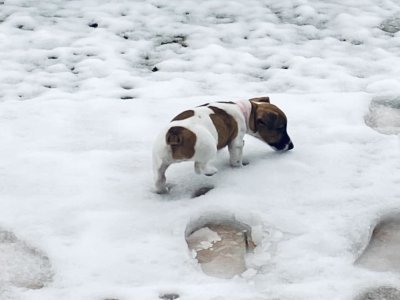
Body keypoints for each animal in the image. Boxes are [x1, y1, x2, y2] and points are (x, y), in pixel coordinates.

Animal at [153, 97, 294, 193]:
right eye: (281, 128)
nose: (291, 146)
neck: (245, 111)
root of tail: (175, 133)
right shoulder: (236, 143)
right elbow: (236, 159)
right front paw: (240, 168)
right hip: (208, 147)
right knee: (199, 167)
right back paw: (211, 171)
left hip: (159, 162)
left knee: (159, 179)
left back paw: (162, 189)